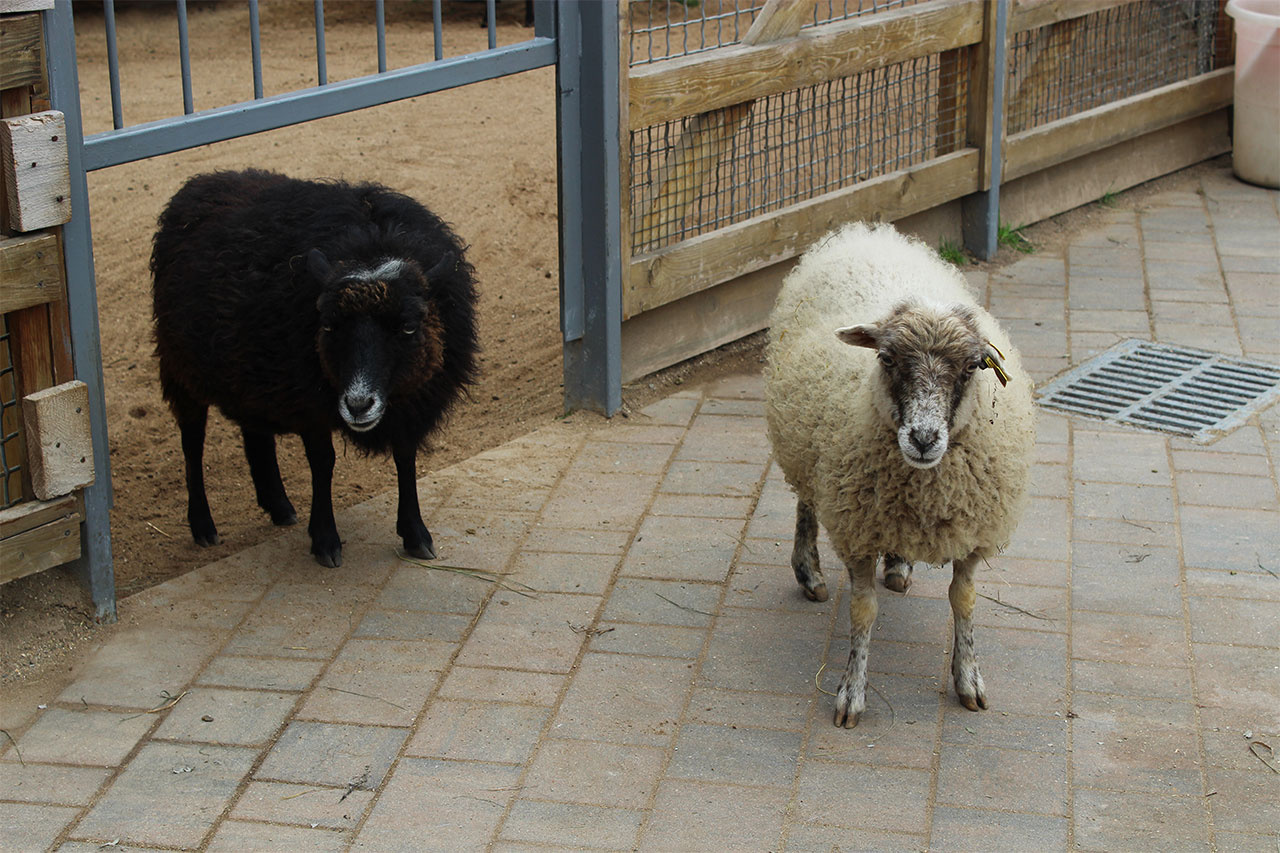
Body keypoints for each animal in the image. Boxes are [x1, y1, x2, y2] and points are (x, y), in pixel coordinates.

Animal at [151, 169, 478, 568]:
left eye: (408, 326)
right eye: (329, 326)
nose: (358, 405)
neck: (371, 243)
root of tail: (200, 183)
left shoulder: (411, 402)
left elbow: (405, 456)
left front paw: (415, 534)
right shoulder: (309, 401)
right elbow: (323, 463)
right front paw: (325, 539)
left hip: (247, 368)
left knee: (254, 432)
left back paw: (278, 505)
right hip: (181, 366)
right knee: (192, 442)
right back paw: (202, 524)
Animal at [764, 222, 1036, 728]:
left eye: (973, 365)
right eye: (887, 359)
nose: (924, 438)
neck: (925, 487)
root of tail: (866, 232)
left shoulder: (973, 530)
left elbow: (964, 601)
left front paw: (969, 679)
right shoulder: (857, 527)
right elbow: (863, 612)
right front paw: (851, 693)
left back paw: (898, 565)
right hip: (802, 438)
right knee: (806, 499)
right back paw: (809, 572)